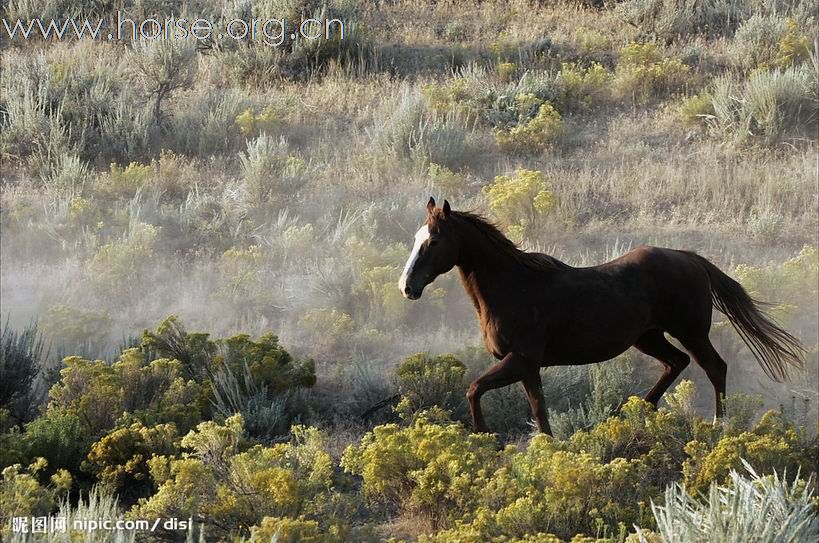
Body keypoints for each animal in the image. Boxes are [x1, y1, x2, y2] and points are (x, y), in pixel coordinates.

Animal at [400, 199, 804, 434]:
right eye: (417, 238)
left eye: (434, 241)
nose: (407, 286)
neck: (514, 286)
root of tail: (689, 258)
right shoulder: (528, 367)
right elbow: (538, 410)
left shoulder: (521, 360)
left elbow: (475, 389)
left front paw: (489, 438)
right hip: (648, 337)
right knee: (676, 363)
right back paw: (636, 410)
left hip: (690, 332)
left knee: (714, 367)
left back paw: (720, 424)